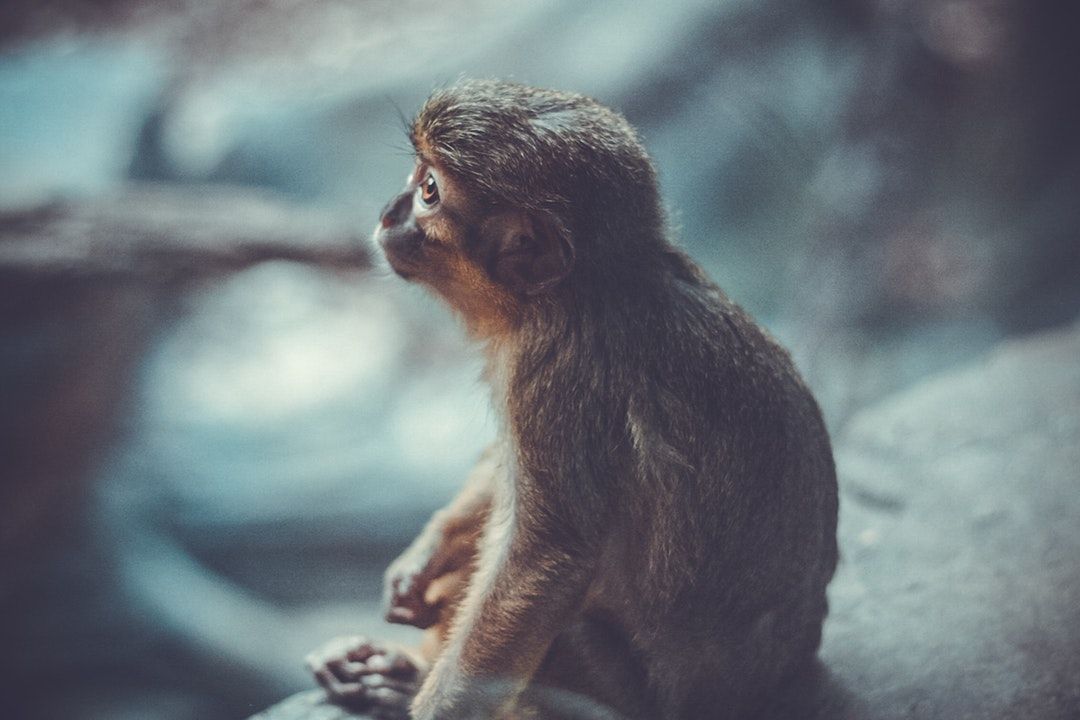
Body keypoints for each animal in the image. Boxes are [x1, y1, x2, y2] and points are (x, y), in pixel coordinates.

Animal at [306, 79, 838, 720]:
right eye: (416, 178)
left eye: (429, 191)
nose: (390, 211)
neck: (581, 291)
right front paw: (423, 555)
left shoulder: (555, 368)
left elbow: (545, 562)